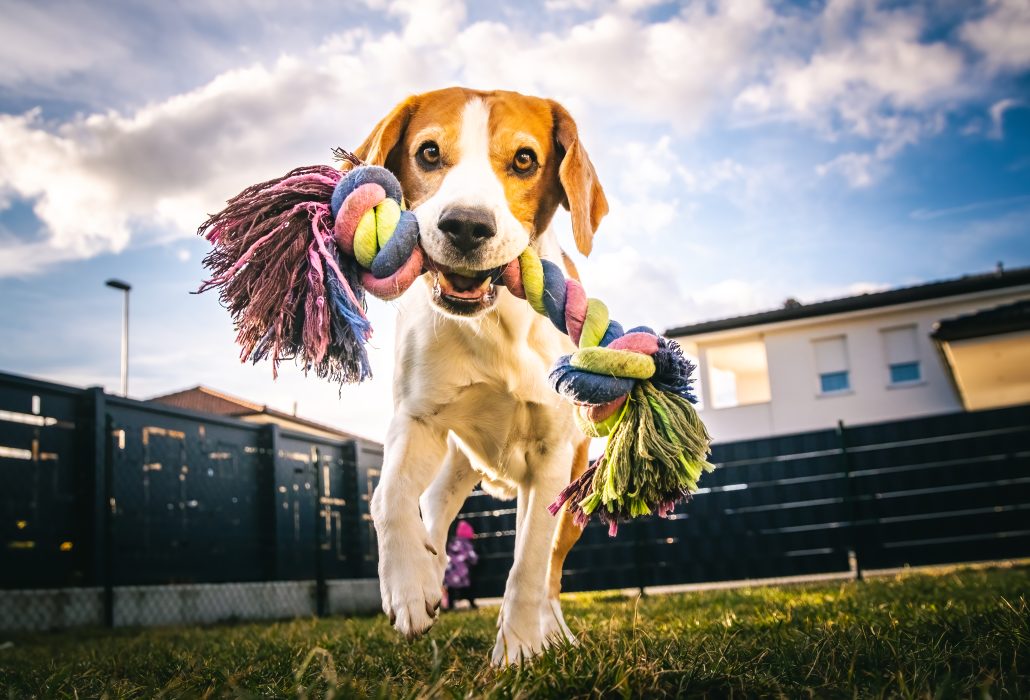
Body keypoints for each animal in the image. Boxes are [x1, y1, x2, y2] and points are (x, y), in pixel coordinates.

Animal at [358, 84, 605, 662]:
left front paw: (518, 651)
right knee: (432, 503)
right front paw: (409, 587)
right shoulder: (417, 420)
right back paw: (431, 569)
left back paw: (553, 632)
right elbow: (388, 498)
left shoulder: (551, 456)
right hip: (458, 457)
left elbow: (528, 567)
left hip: (569, 491)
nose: (467, 225)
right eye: (428, 152)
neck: (492, 325)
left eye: (524, 160)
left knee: (550, 571)